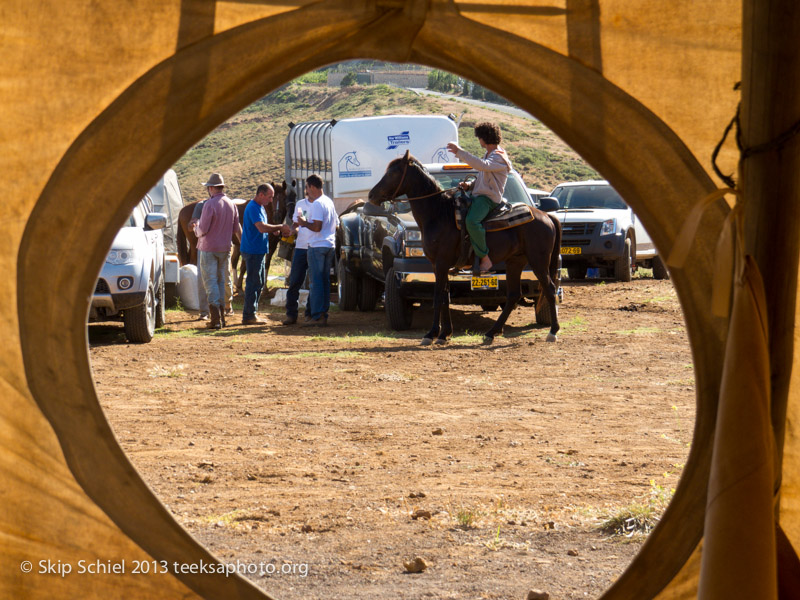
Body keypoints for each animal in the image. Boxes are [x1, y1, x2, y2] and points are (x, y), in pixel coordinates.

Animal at [370, 152, 564, 344]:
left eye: (392, 173)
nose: (371, 195)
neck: (438, 214)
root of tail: (546, 215)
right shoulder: (438, 265)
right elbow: (445, 296)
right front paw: (445, 333)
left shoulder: (441, 263)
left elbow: (438, 296)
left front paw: (431, 334)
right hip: (515, 262)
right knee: (514, 295)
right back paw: (491, 332)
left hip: (538, 261)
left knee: (549, 289)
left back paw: (553, 331)